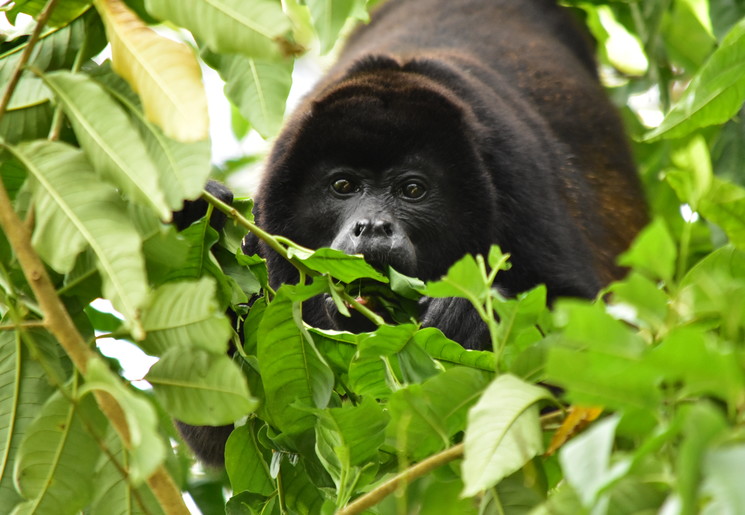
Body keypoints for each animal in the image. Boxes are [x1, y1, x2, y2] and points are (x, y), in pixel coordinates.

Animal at [180, 0, 644, 468]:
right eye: (343, 185)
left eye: (413, 190)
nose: (373, 227)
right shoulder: (264, 224)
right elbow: (224, 424)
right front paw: (194, 214)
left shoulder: (515, 172)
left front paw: (472, 317)